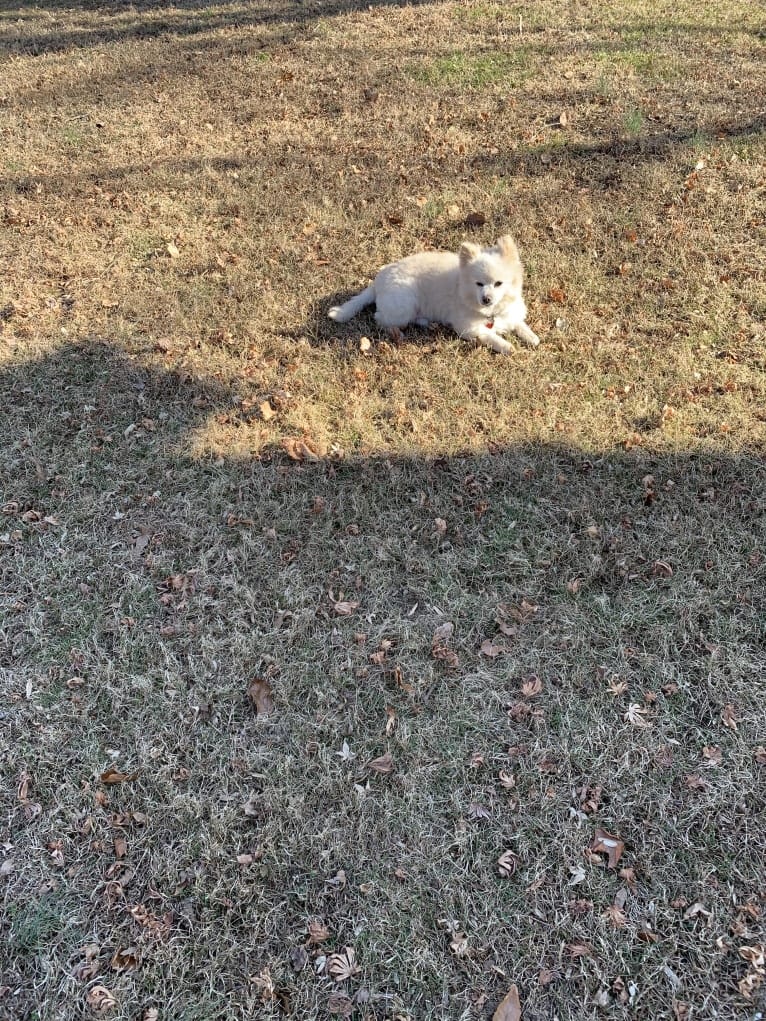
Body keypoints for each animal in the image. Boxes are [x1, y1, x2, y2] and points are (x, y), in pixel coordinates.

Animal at [328, 234, 539, 355]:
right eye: (479, 284)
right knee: (379, 317)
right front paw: (507, 346)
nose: (486, 299)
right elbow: (490, 335)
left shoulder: (511, 313)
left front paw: (531, 337)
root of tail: (377, 281)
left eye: (498, 284)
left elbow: (519, 324)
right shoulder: (467, 328)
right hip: (404, 305)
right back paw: (398, 332)